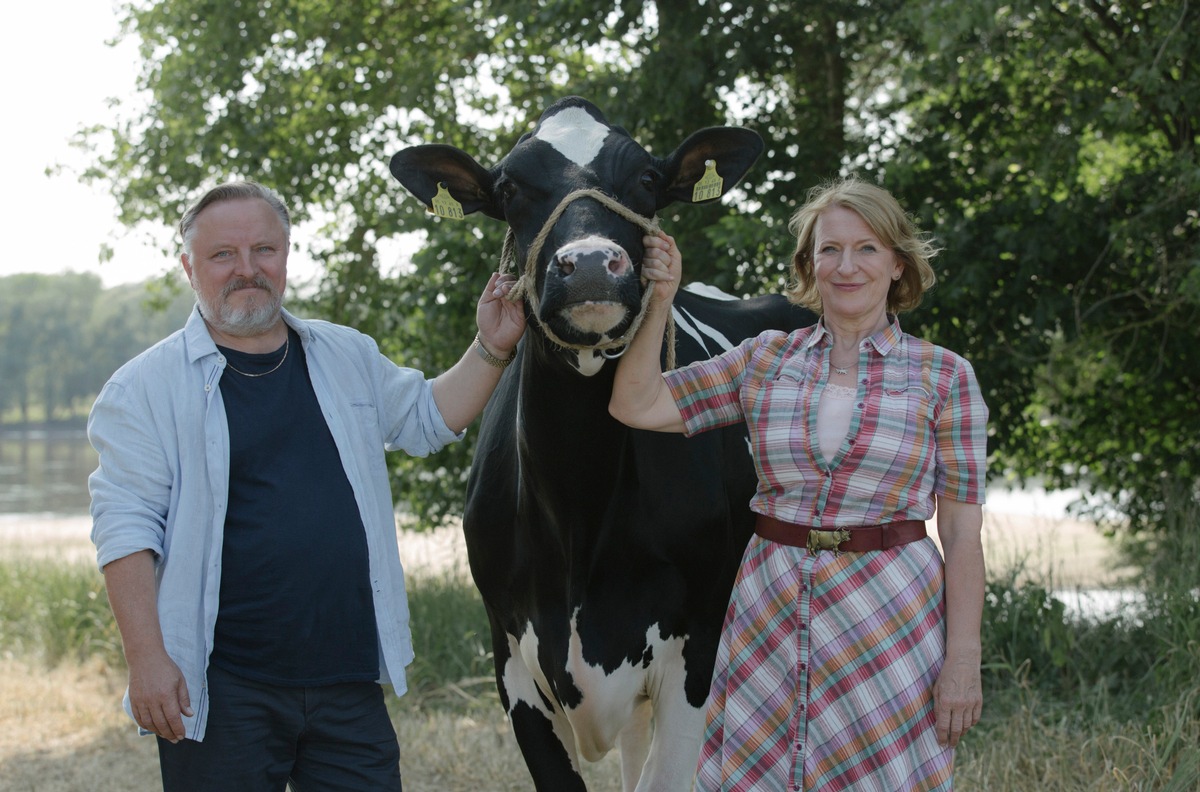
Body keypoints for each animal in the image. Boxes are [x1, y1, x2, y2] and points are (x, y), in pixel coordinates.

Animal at [388, 99, 820, 792]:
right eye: (510, 188)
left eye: (645, 178)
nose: (589, 263)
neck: (579, 511)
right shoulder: (512, 657)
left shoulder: (699, 646)